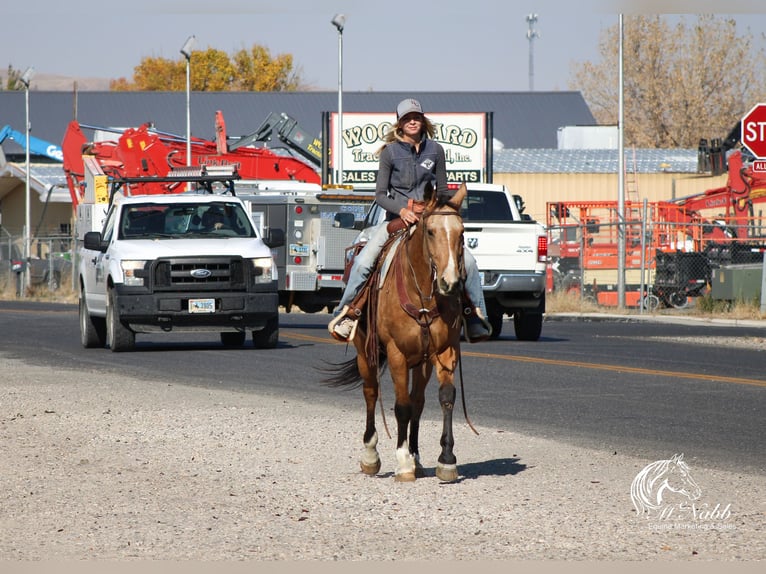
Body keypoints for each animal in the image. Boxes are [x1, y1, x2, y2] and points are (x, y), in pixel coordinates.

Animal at [324, 182, 468, 484]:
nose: (449, 283)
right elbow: (401, 406)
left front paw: (446, 460)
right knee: (371, 393)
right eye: (430, 231)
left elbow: (445, 398)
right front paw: (403, 463)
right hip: (364, 352)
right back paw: (370, 456)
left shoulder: (444, 352)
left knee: (418, 402)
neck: (422, 293)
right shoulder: (396, 354)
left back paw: (417, 458)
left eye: (462, 233)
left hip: (422, 362)